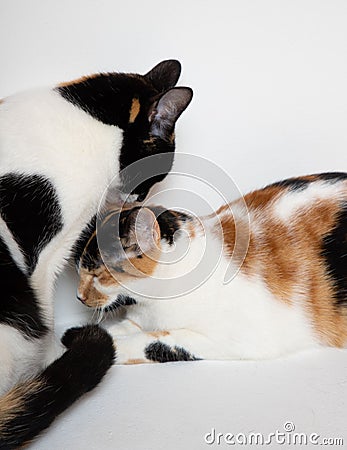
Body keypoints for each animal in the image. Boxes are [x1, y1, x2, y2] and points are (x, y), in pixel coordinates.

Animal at [0, 59, 193, 446]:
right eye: (153, 176)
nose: (139, 199)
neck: (88, 122)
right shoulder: (45, 256)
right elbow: (46, 318)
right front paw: (44, 368)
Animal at [78, 171, 347, 362]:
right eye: (80, 270)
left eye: (96, 274)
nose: (79, 297)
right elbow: (120, 328)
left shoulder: (236, 339)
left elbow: (154, 342)